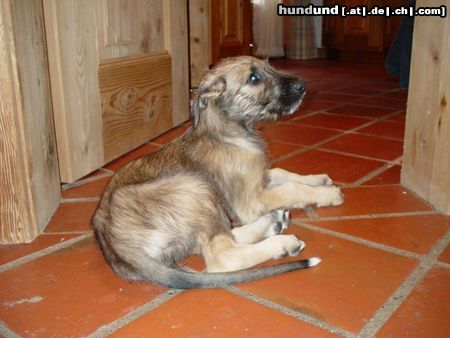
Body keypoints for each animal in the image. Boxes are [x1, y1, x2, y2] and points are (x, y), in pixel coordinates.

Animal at [93, 56, 342, 288]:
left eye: (270, 67)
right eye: (253, 78)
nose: (302, 85)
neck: (227, 132)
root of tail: (114, 245)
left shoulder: (257, 178)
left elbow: (283, 173)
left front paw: (319, 180)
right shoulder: (250, 202)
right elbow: (291, 188)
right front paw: (329, 195)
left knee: (219, 238)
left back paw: (273, 223)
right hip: (196, 187)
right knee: (221, 256)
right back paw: (282, 241)